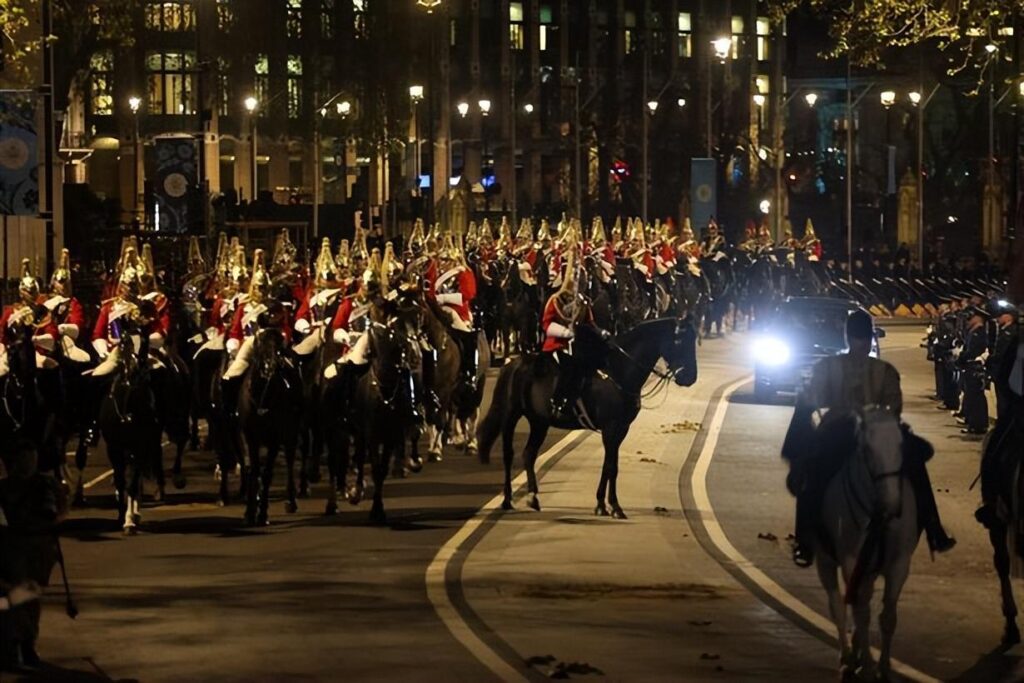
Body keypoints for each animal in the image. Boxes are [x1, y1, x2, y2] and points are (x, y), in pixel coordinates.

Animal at [477, 317, 696, 520]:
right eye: (679, 340)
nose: (690, 378)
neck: (618, 370)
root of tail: (512, 364)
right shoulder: (610, 428)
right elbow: (610, 466)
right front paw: (611, 506)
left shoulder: (621, 429)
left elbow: (610, 466)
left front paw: (605, 505)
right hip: (511, 416)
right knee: (508, 454)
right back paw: (507, 499)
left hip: (539, 421)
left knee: (529, 454)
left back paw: (533, 497)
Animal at [815, 409, 921, 679]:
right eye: (867, 449)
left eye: (902, 445)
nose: (893, 503)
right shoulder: (851, 561)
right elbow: (860, 613)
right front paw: (868, 669)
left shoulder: (899, 565)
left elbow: (888, 616)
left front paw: (883, 666)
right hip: (825, 560)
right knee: (838, 605)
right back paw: (847, 656)